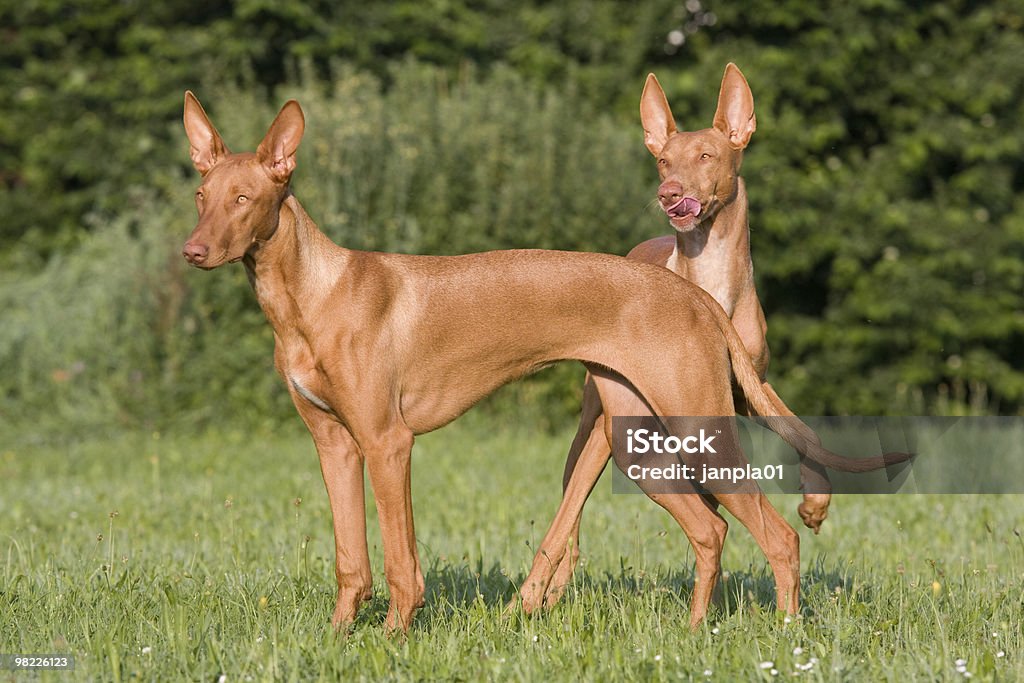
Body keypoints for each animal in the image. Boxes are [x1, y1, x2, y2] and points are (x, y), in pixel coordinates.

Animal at [182, 93, 905, 634]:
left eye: (245, 198)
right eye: (201, 195)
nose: (192, 251)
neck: (312, 295)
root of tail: (694, 294)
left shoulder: (388, 443)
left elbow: (399, 561)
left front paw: (393, 637)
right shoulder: (333, 443)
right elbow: (350, 558)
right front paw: (338, 637)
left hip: (698, 429)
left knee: (779, 535)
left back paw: (785, 633)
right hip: (636, 442)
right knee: (710, 529)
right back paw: (695, 630)